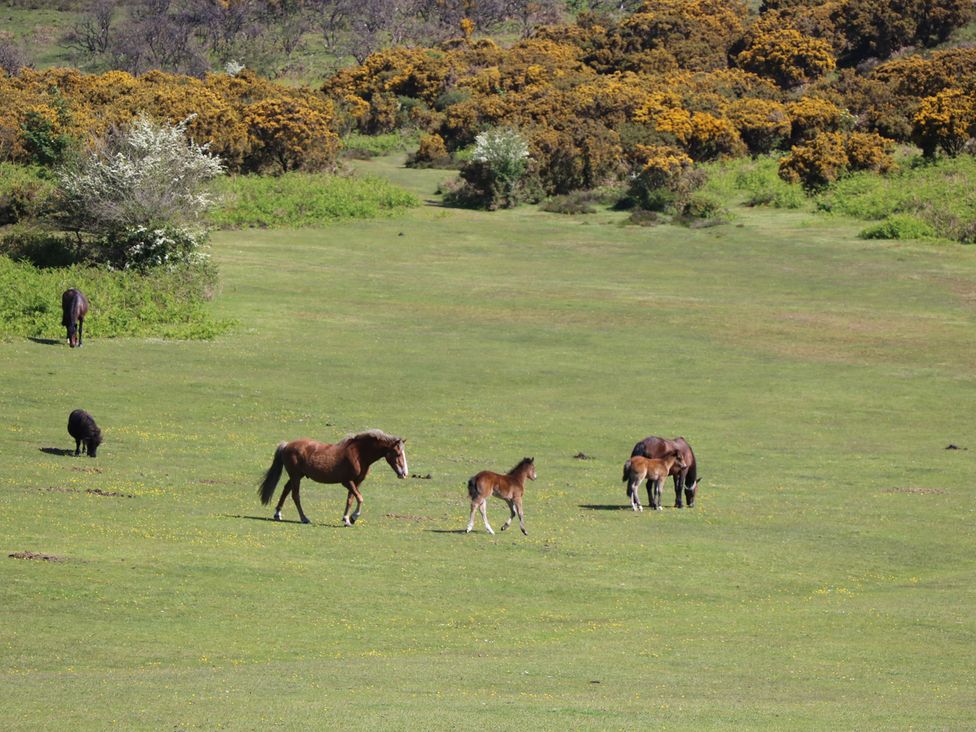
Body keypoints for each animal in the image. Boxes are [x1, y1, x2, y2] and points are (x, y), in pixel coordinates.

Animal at [258, 428, 406, 528]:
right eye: (398, 454)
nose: (404, 473)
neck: (358, 454)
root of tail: (287, 445)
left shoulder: (356, 482)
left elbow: (351, 499)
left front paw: (347, 519)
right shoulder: (347, 482)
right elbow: (360, 498)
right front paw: (353, 517)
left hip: (297, 476)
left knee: (286, 490)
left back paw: (278, 514)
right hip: (295, 476)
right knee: (295, 495)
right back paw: (304, 518)